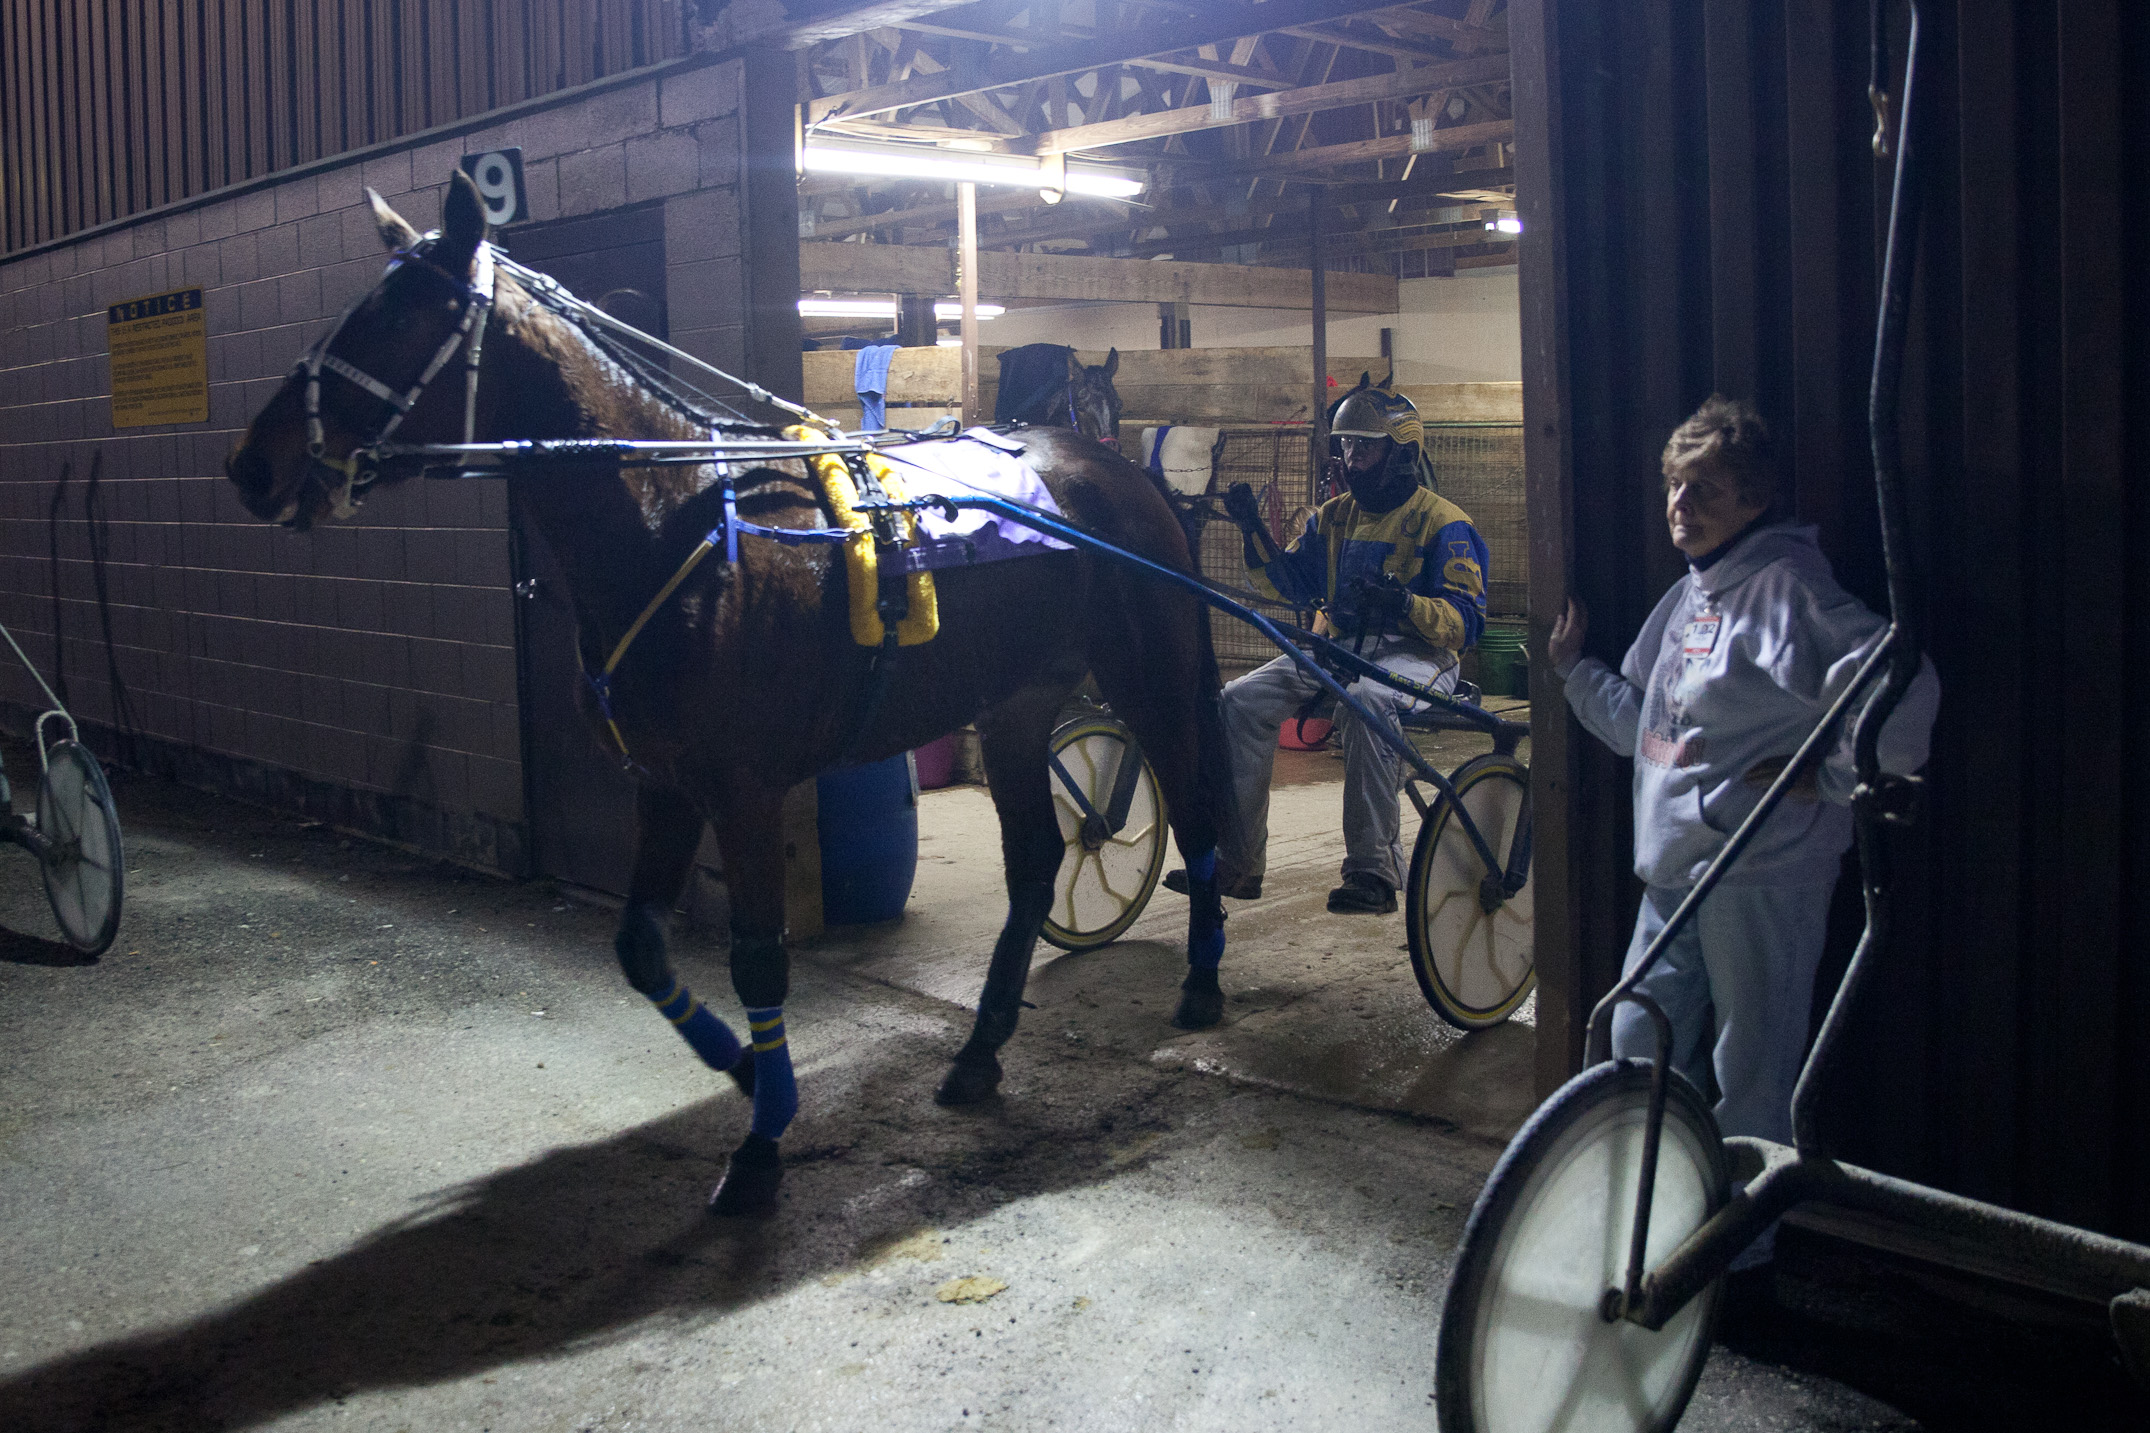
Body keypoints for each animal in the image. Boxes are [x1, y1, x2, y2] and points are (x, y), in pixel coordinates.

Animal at [220, 174, 1238, 1220]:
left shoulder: (746, 793)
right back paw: (981, 1048)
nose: (253, 464)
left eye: (395, 315)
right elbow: (639, 946)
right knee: (1035, 860)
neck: (671, 522)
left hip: (1147, 674)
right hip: (1014, 706)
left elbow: (757, 957)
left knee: (1192, 804)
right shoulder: (664, 785)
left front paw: (760, 1141)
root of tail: (1115, 470)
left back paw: (1201, 982)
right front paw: (748, 1071)